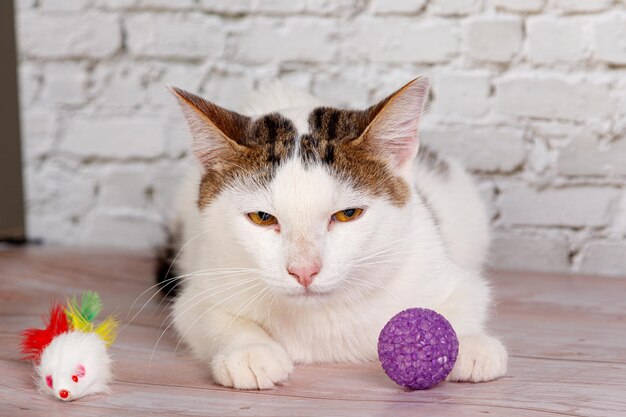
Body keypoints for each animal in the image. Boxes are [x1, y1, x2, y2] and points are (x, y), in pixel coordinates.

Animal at [158, 76, 504, 388]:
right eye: (262, 217)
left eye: (348, 214)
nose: (304, 271)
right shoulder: (201, 281)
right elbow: (208, 315)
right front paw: (249, 351)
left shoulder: (442, 268)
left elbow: (467, 299)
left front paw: (468, 343)